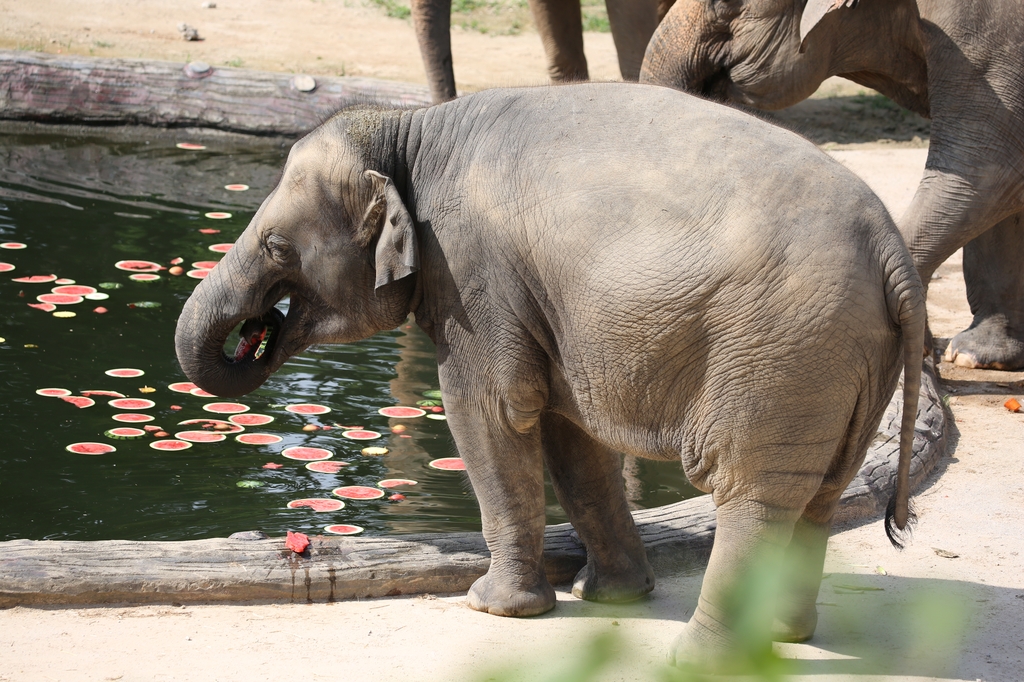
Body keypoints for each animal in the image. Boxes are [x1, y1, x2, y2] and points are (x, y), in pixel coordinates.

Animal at [176, 82, 929, 659]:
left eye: (278, 246)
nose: (254, 333)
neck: (410, 129)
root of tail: (890, 248)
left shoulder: (473, 274)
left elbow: (486, 411)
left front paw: (492, 608)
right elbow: (573, 436)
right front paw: (610, 597)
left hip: (781, 352)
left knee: (752, 495)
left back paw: (702, 658)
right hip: (844, 361)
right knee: (820, 493)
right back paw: (785, 636)